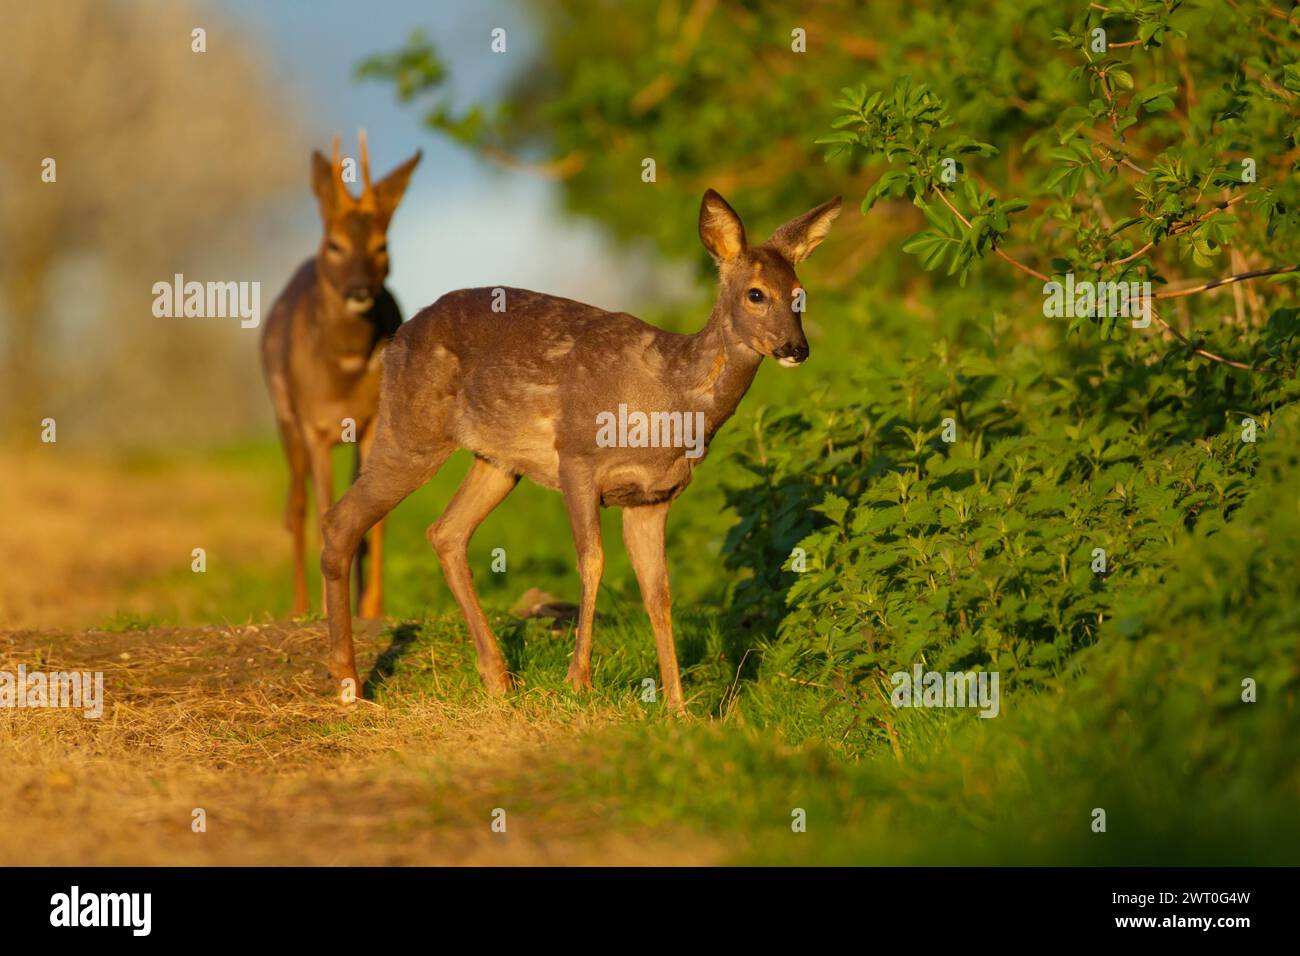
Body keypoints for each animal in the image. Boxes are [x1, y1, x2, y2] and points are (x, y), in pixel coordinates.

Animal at [261, 131, 421, 619]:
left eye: (382, 246)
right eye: (334, 244)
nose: (359, 290)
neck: (343, 371)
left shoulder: (374, 421)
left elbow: (376, 517)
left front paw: (372, 608)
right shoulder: (312, 425)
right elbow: (321, 510)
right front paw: (329, 607)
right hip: (285, 417)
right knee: (295, 507)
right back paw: (299, 607)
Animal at [320, 189, 841, 711]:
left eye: (799, 293)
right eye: (756, 293)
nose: (796, 348)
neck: (670, 398)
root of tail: (396, 340)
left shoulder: (654, 497)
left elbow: (658, 591)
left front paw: (678, 707)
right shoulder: (577, 459)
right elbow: (592, 563)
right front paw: (579, 680)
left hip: (497, 461)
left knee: (445, 531)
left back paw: (498, 678)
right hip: (412, 428)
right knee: (342, 520)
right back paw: (348, 684)